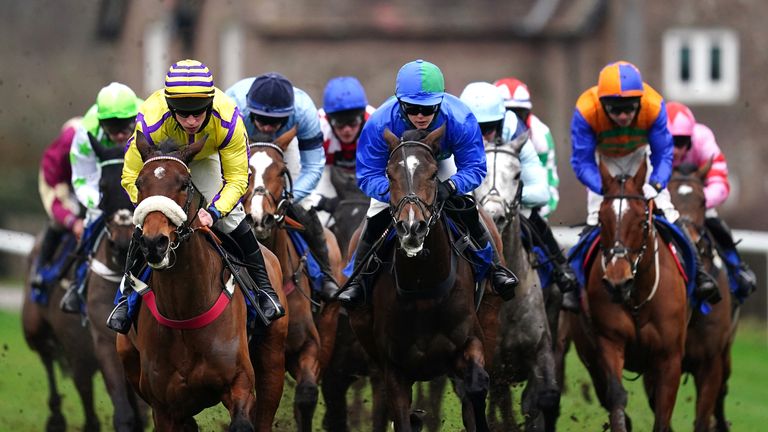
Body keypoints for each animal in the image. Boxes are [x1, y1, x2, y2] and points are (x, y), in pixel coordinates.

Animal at [348, 125, 498, 432]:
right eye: (390, 174)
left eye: (431, 174)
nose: (411, 228)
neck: (424, 288)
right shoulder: (393, 368)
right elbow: (402, 416)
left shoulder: (470, 341)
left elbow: (477, 386)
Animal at [568, 159, 688, 432]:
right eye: (601, 221)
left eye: (642, 222)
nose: (617, 283)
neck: (637, 299)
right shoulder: (609, 341)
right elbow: (616, 397)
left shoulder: (669, 358)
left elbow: (662, 415)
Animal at [664, 160, 736, 430]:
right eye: (669, 195)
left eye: (704, 201)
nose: (691, 241)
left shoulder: (710, 362)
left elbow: (704, 416)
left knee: (723, 390)